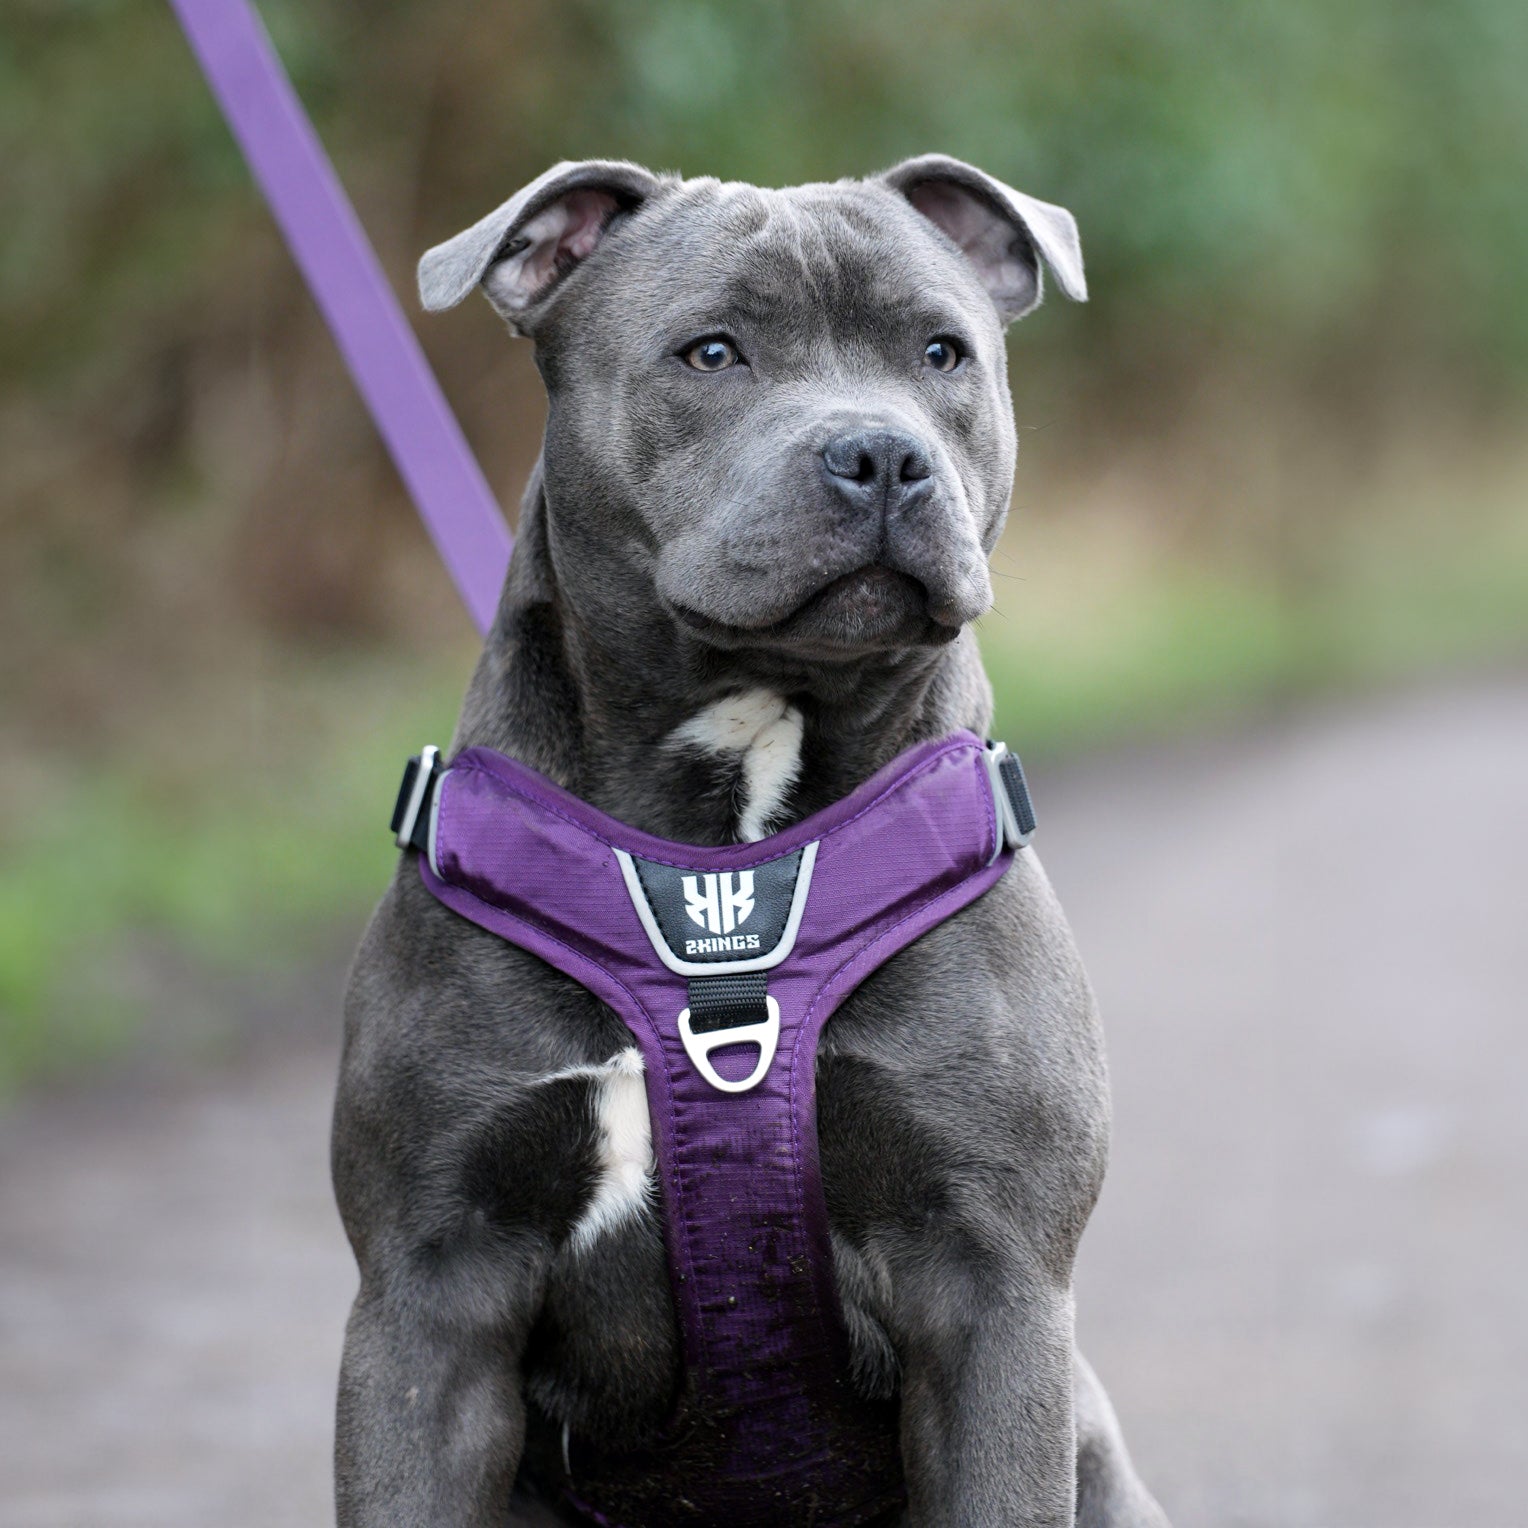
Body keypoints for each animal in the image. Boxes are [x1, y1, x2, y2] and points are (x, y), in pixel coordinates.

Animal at [334, 158, 1167, 1528]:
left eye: (941, 352)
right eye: (712, 351)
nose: (881, 454)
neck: (720, 856)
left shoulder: (992, 1287)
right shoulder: (427, 1299)